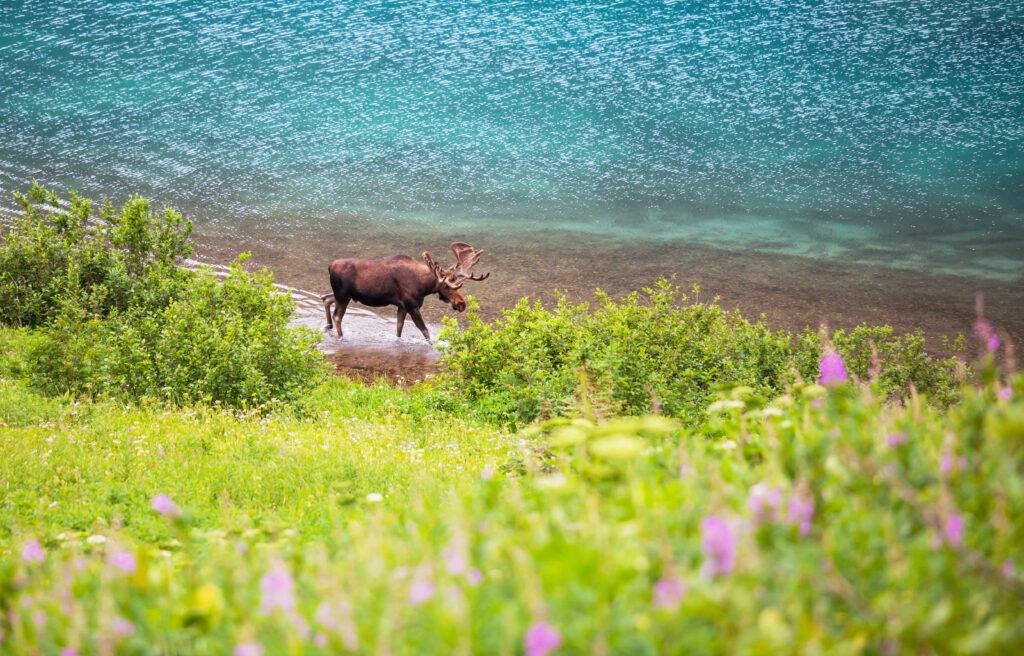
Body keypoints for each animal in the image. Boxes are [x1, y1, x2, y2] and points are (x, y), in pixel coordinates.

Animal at [323, 241, 491, 343]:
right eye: (448, 286)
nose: (462, 304)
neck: (424, 286)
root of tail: (330, 266)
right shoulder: (411, 305)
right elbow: (425, 331)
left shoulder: (402, 306)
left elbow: (399, 328)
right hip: (343, 295)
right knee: (337, 316)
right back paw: (341, 336)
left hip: (344, 295)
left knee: (325, 298)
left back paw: (328, 326)